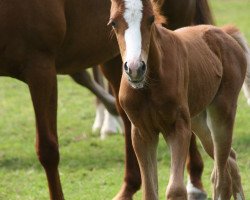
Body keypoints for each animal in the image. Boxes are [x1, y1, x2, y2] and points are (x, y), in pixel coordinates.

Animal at [0, 0, 214, 200]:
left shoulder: (40, 66)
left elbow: (47, 149)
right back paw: (128, 186)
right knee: (128, 117)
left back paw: (194, 184)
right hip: (113, 56)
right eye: (112, 23)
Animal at [109, 0, 248, 200]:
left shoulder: (178, 127)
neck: (149, 86)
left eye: (151, 19)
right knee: (230, 159)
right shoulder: (142, 133)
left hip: (222, 113)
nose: (135, 68)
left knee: (222, 178)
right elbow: (149, 191)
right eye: (113, 23)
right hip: (198, 120)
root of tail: (224, 33)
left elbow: (175, 189)